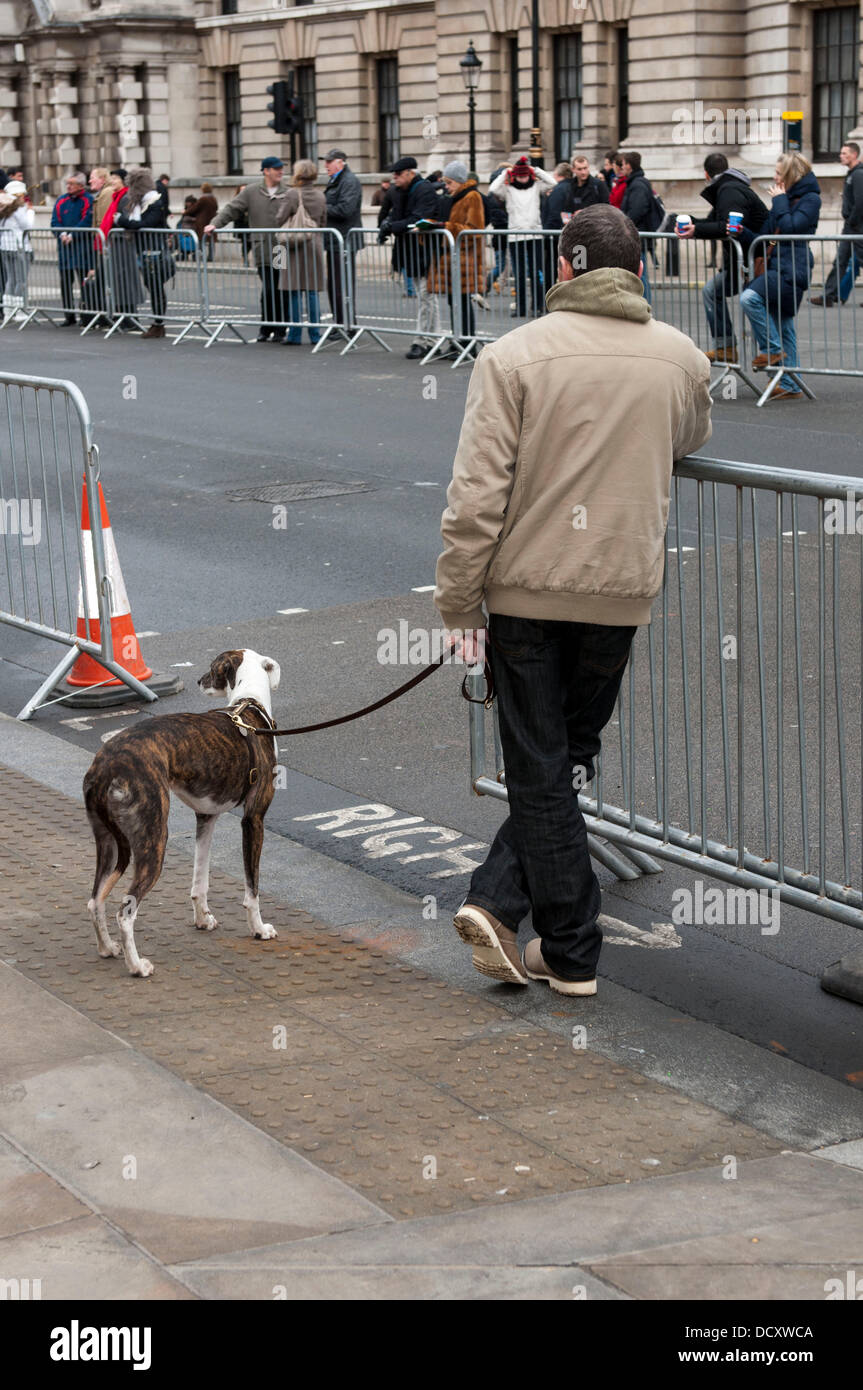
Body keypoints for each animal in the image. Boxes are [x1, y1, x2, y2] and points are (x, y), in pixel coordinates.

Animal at [83, 650, 279, 978]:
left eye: (212, 668)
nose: (199, 681)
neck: (249, 704)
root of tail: (106, 765)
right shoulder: (254, 820)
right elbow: (252, 889)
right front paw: (259, 929)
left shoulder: (206, 818)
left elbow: (200, 881)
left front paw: (202, 919)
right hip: (153, 841)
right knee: (125, 912)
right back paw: (136, 965)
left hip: (107, 844)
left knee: (95, 899)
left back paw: (107, 948)